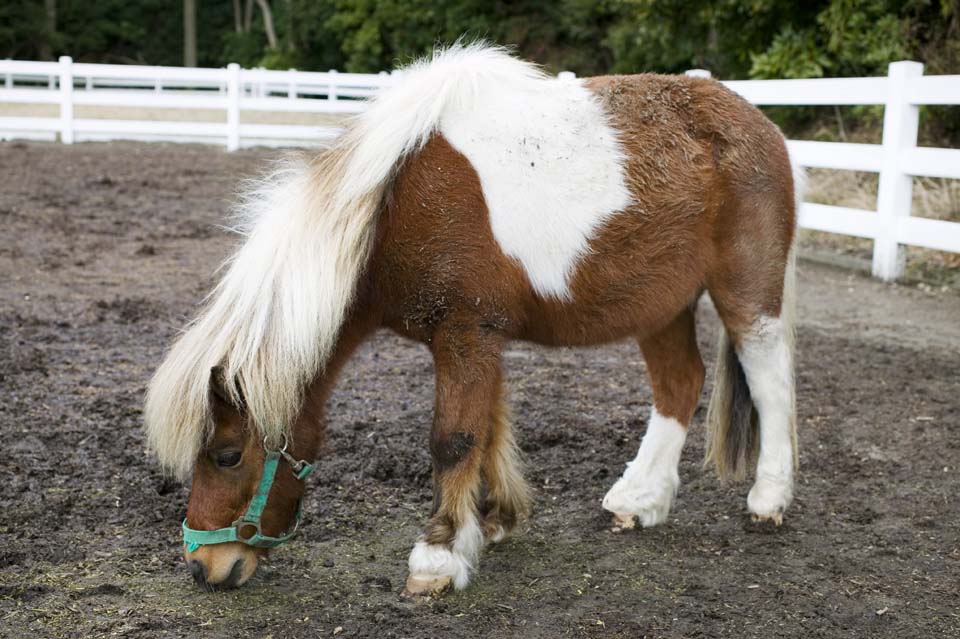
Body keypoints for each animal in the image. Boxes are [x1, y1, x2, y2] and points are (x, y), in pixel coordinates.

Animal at [146, 43, 800, 596]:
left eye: (227, 455)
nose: (205, 567)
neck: (392, 207)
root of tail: (760, 124)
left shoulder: (465, 332)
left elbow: (455, 438)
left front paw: (437, 555)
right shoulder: (482, 338)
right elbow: (487, 428)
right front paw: (490, 522)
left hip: (746, 294)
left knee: (770, 385)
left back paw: (768, 499)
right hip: (662, 306)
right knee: (679, 385)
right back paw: (640, 500)